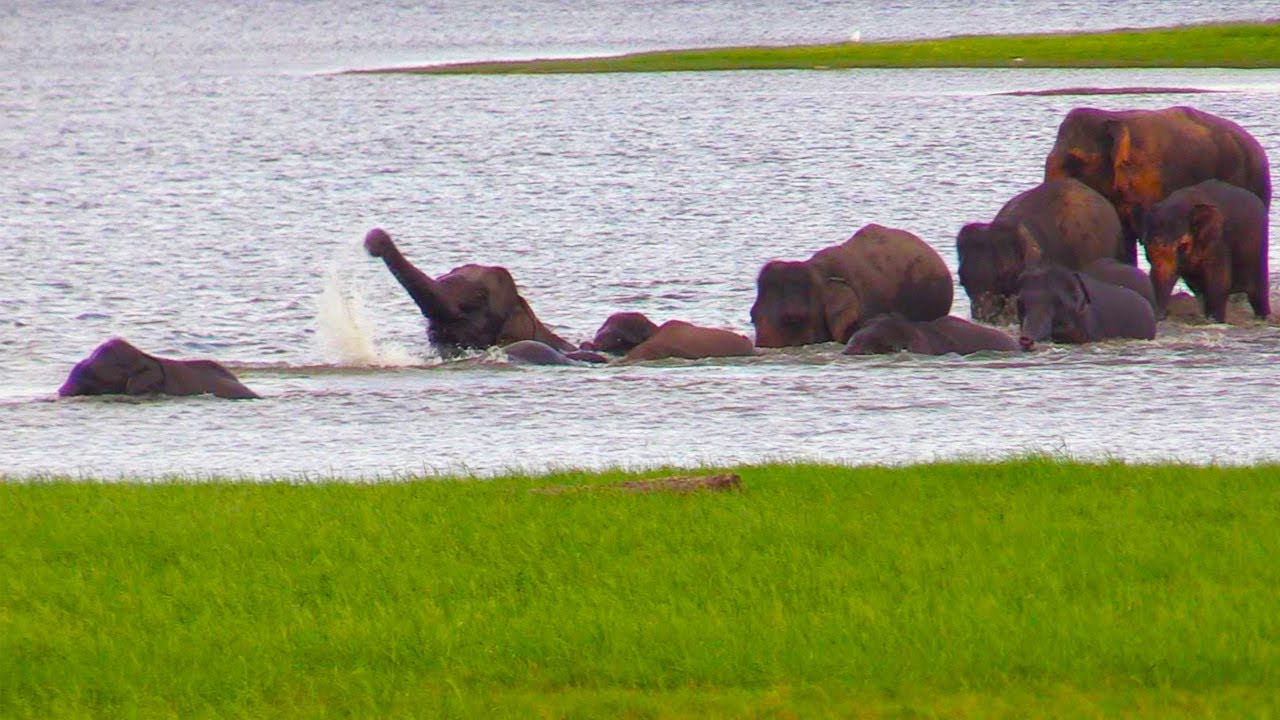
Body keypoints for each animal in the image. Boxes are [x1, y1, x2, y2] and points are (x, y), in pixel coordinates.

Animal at [1137, 179, 1271, 322]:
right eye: (1146, 247)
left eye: (1182, 246)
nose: (1160, 316)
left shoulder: (1218, 243)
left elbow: (1219, 281)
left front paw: (1215, 321)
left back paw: (1262, 318)